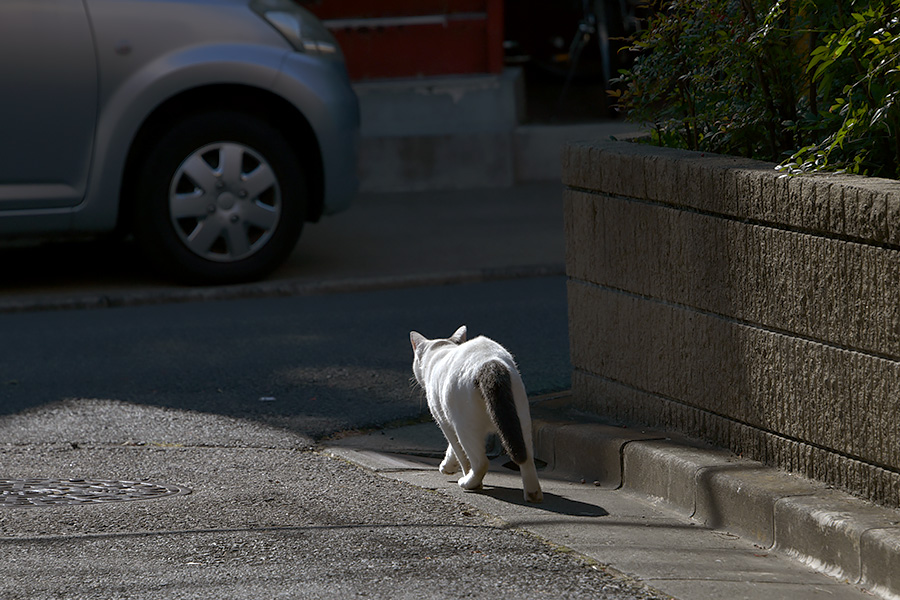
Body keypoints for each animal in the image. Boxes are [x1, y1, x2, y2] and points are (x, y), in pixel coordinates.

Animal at [408, 326, 540, 504]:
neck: (442, 349)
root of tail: (489, 364)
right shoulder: (451, 420)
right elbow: (453, 450)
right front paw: (448, 466)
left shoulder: (445, 421)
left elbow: (460, 453)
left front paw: (460, 472)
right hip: (519, 420)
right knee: (526, 457)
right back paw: (533, 494)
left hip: (466, 427)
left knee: (481, 462)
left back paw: (469, 483)